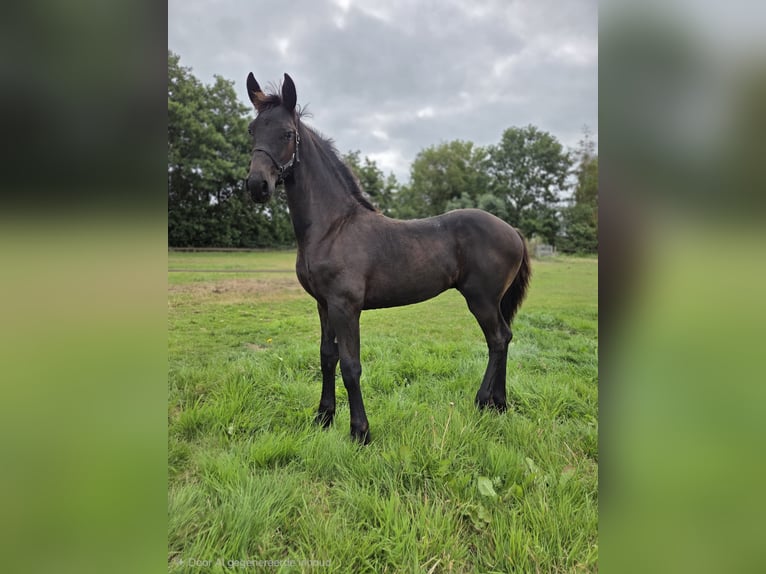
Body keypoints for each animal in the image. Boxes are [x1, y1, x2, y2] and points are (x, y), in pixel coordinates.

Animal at [244, 73, 531, 444]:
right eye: (252, 130)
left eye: (287, 134)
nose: (257, 185)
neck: (333, 226)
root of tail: (512, 230)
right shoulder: (324, 304)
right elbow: (327, 357)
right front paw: (323, 417)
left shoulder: (345, 306)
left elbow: (350, 365)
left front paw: (360, 431)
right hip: (493, 301)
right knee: (506, 337)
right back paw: (500, 403)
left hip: (481, 299)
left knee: (497, 340)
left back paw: (482, 401)